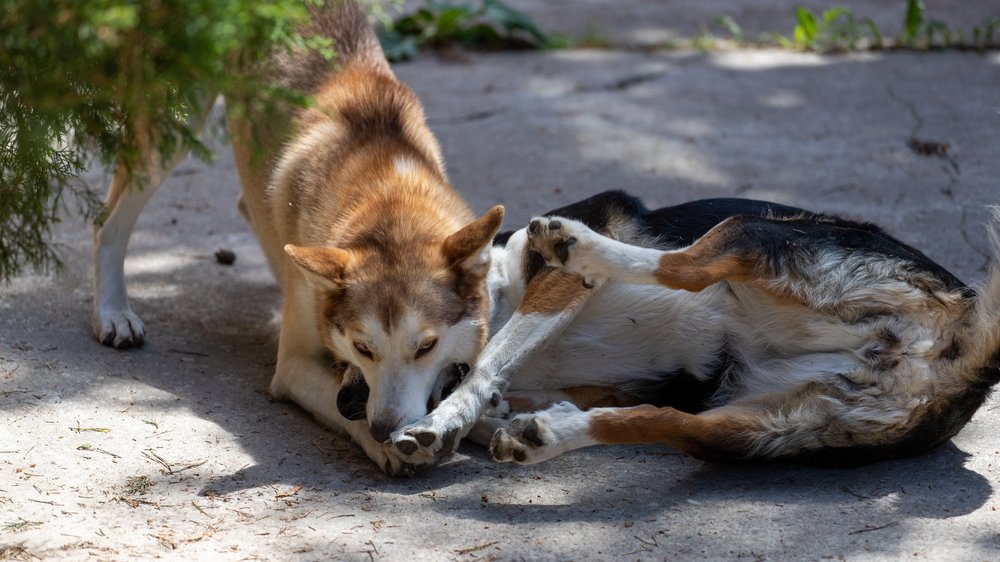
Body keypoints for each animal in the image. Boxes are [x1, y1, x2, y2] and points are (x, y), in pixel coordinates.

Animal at [92, 0, 500, 472]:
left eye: (426, 346)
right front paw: (386, 444)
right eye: (363, 347)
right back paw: (112, 312)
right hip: (172, 126)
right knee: (107, 221)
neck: (387, 191)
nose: (385, 429)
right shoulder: (293, 367)